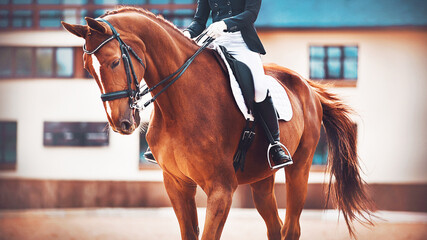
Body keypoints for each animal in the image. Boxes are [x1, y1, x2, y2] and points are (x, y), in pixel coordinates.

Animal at [61, 7, 372, 240]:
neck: (179, 104)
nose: (121, 122)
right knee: (274, 227)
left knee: (291, 228)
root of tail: (307, 85)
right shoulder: (176, 184)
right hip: (262, 178)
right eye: (88, 69)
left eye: (115, 62)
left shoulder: (221, 189)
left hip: (301, 167)